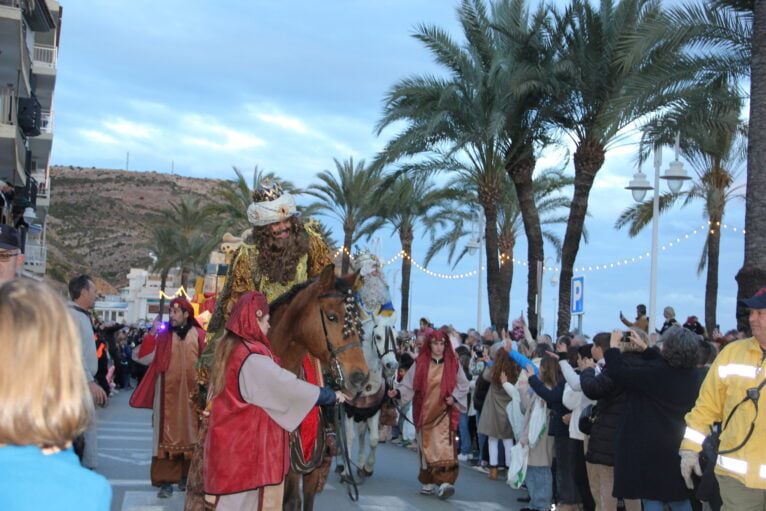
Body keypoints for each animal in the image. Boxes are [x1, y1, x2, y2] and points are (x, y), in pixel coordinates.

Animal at [342, 316, 402, 480]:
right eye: (379, 337)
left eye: (397, 338)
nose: (392, 365)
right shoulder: (349, 411)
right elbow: (349, 437)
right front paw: (347, 472)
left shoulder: (373, 411)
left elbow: (374, 439)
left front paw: (367, 467)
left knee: (362, 435)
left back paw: (361, 464)